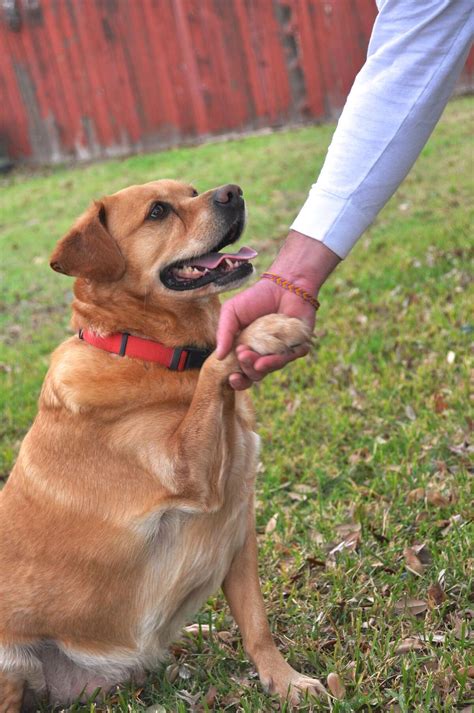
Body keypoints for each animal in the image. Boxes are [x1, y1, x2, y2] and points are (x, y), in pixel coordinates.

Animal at [0, 178, 324, 708]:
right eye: (157, 212)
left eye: (190, 191)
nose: (232, 191)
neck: (147, 353)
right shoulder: (189, 473)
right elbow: (219, 357)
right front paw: (266, 330)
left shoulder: (238, 526)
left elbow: (257, 625)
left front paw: (285, 680)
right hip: (11, 664)